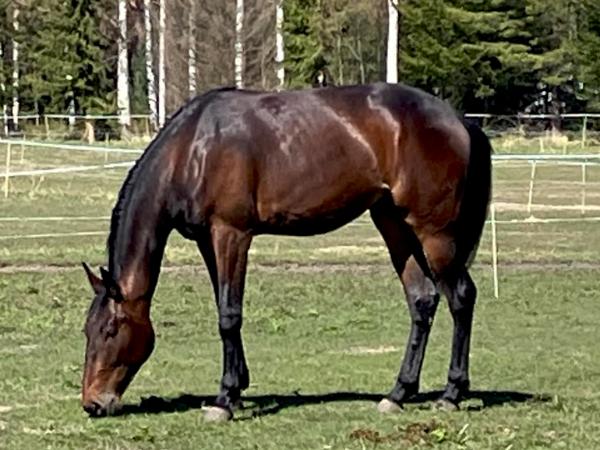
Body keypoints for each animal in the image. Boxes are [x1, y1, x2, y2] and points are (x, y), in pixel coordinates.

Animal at [81, 82, 492, 421]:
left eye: (110, 329)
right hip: (394, 225)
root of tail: (458, 119)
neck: (193, 148)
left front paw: (224, 401)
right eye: (87, 330)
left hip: (434, 234)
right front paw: (237, 389)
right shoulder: (207, 241)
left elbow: (229, 315)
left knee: (461, 297)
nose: (92, 402)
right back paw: (398, 393)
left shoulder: (231, 234)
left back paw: (452, 393)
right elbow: (223, 308)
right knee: (422, 300)